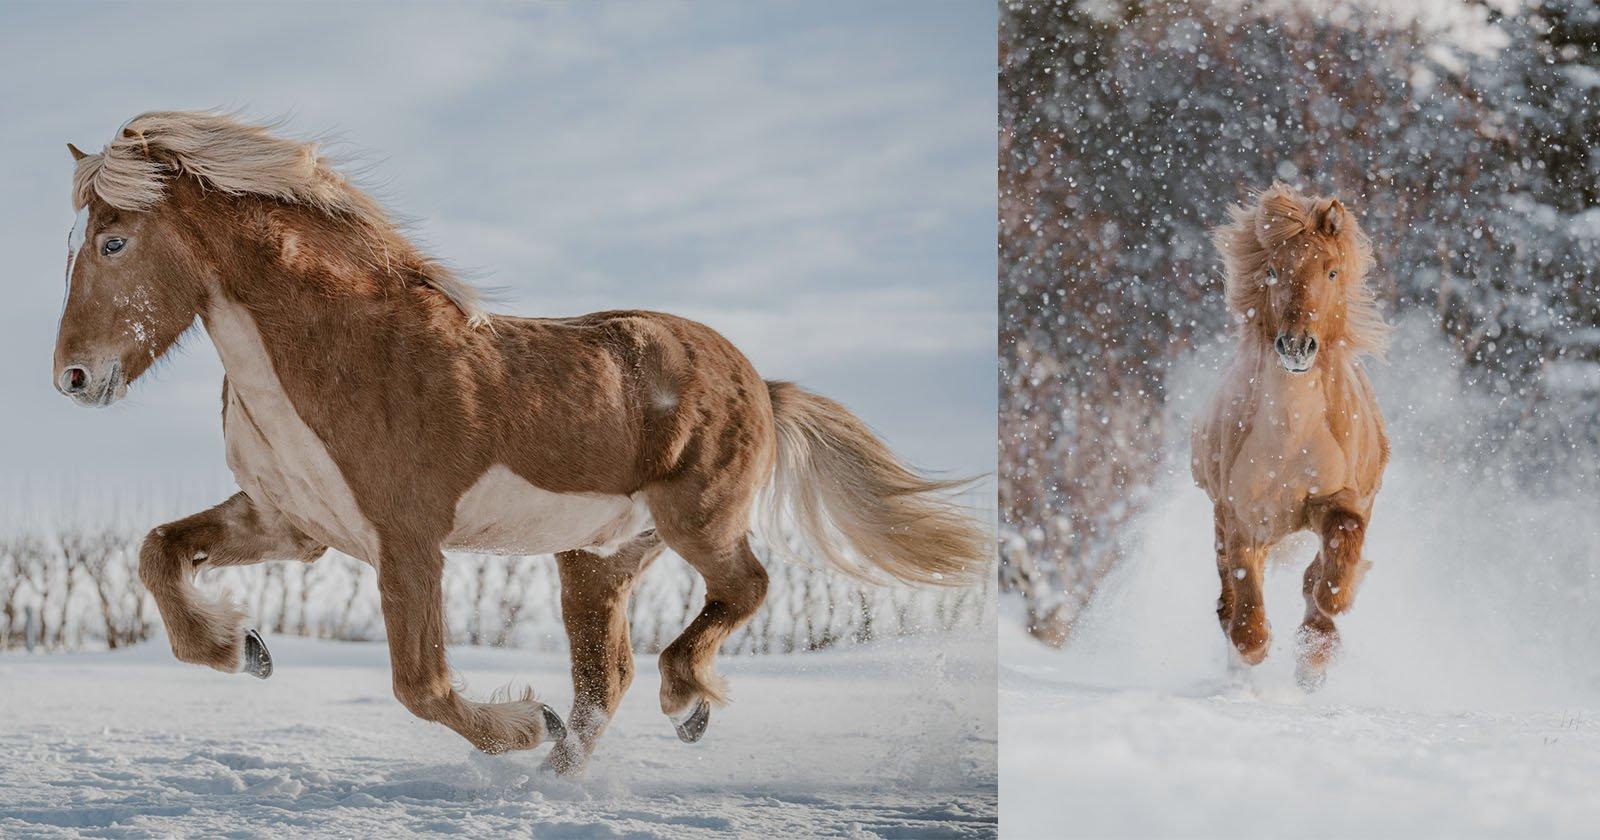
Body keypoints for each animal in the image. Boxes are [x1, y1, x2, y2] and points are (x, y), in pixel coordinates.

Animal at [52, 111, 987, 773]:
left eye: (113, 241)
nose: (72, 378)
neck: (336, 346)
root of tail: (761, 382)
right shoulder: (295, 524)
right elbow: (157, 551)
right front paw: (242, 648)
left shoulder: (407, 540)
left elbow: (420, 685)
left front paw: (517, 724)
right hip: (598, 558)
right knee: (607, 678)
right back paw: (559, 779)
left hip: (698, 520)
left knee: (744, 590)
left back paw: (682, 704)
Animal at [1190, 182, 1390, 691]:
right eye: (1274, 270)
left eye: (1332, 271)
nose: (1296, 345)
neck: (1290, 437)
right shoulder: (1242, 515)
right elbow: (1246, 614)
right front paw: (1255, 652)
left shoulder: (1341, 500)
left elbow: (1335, 572)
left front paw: (1317, 648)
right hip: (1223, 517)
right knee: (1228, 595)